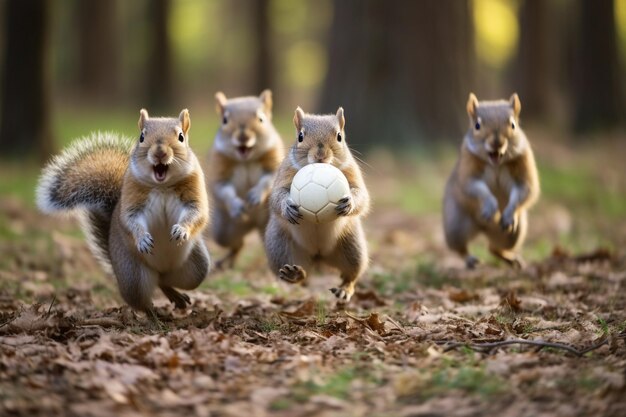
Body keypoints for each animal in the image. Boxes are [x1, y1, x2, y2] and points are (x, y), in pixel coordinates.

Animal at [37, 109, 211, 310]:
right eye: (142, 137)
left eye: (181, 137)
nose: (159, 152)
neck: (161, 185)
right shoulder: (131, 198)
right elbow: (129, 220)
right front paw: (142, 239)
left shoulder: (194, 194)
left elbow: (197, 213)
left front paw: (181, 230)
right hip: (133, 275)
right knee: (144, 298)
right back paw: (155, 313)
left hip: (196, 269)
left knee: (166, 281)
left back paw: (176, 296)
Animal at [206, 89, 284, 268]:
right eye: (224, 120)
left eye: (261, 119)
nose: (243, 136)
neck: (246, 159)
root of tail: (252, 224)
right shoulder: (219, 168)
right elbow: (223, 189)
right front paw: (236, 205)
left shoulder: (273, 160)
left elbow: (269, 180)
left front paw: (255, 195)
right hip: (224, 232)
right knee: (238, 245)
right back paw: (226, 262)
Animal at [262, 105, 368, 300]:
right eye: (300, 136)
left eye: (339, 136)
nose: (321, 155)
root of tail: (318, 257)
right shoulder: (284, 173)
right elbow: (276, 197)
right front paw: (286, 207)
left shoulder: (351, 171)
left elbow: (362, 196)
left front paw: (349, 203)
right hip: (280, 247)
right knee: (297, 275)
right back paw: (294, 274)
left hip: (352, 247)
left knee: (351, 275)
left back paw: (344, 289)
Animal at [442, 92, 540, 268]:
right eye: (477, 125)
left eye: (513, 125)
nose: (497, 143)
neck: (496, 164)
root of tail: (484, 229)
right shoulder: (468, 169)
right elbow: (473, 187)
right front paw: (490, 205)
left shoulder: (523, 167)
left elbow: (525, 189)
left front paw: (508, 213)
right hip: (456, 224)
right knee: (460, 248)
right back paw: (470, 259)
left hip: (513, 234)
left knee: (494, 248)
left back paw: (511, 259)